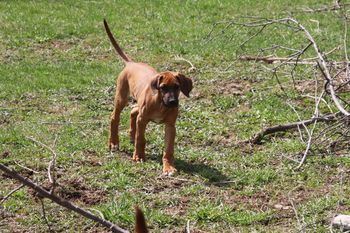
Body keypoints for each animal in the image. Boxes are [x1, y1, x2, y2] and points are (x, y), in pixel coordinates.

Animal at [104, 19, 193, 175]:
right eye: (163, 88)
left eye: (177, 87)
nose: (172, 102)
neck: (161, 104)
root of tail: (131, 63)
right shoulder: (143, 119)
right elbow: (141, 138)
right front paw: (139, 156)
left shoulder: (170, 126)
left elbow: (168, 149)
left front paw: (168, 166)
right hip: (121, 97)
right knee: (115, 117)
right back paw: (114, 142)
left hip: (138, 102)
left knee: (133, 110)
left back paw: (130, 135)